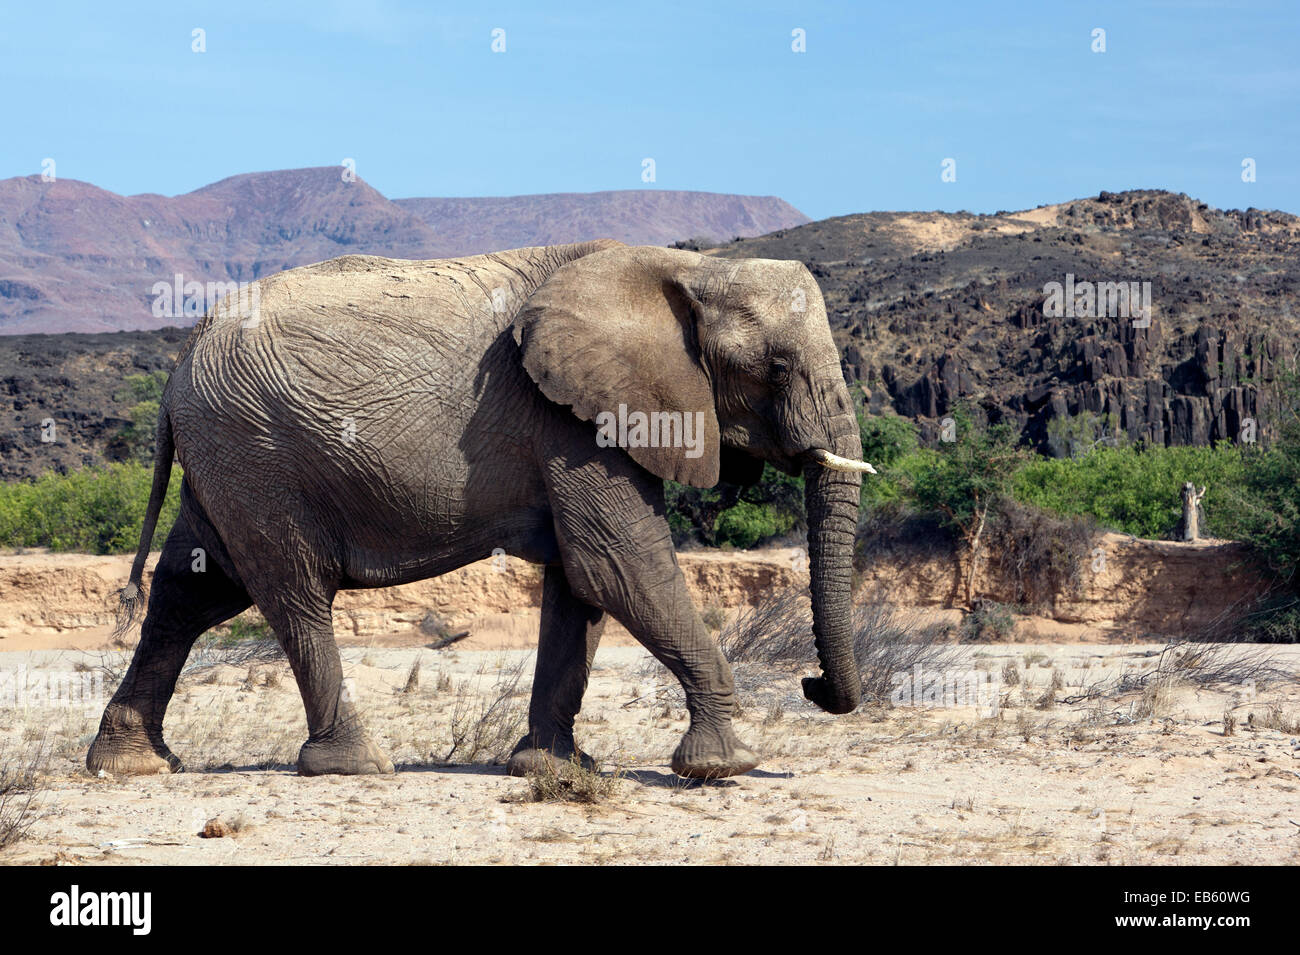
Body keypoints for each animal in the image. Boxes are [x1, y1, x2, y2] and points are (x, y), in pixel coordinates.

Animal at [89, 237, 873, 779]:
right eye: (775, 368)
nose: (813, 684)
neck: (691, 269)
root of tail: (181, 358)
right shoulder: (573, 421)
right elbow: (620, 564)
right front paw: (725, 764)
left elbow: (580, 586)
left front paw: (550, 767)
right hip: (257, 452)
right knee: (292, 592)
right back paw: (357, 766)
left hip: (227, 458)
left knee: (191, 590)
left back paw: (133, 764)